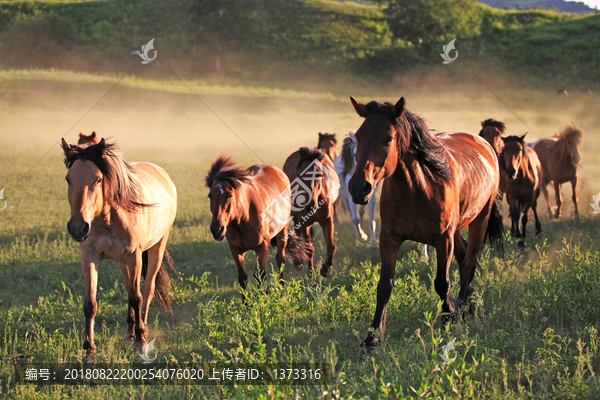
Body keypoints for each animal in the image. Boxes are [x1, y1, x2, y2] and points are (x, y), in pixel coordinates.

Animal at [61, 137, 178, 354]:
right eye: (68, 179)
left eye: (98, 180)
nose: (78, 228)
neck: (107, 219)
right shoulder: (89, 256)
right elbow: (90, 303)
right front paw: (89, 347)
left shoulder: (134, 258)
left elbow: (137, 298)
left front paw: (140, 341)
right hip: (123, 262)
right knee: (129, 288)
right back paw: (129, 333)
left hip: (156, 248)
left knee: (146, 290)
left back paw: (143, 329)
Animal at [207, 155, 310, 290]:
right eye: (210, 195)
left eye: (229, 195)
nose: (217, 230)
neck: (243, 219)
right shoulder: (235, 250)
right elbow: (243, 278)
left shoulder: (262, 247)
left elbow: (260, 276)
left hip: (283, 232)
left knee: (280, 259)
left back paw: (282, 286)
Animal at [284, 148, 340, 276]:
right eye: (300, 174)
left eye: (319, 175)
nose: (310, 207)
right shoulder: (305, 223)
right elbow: (309, 249)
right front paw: (311, 275)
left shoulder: (327, 219)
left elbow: (331, 246)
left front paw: (326, 269)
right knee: (298, 232)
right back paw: (298, 262)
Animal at [346, 97, 506, 354]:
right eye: (359, 136)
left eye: (388, 138)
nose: (359, 188)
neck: (418, 189)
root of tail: (485, 144)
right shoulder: (389, 238)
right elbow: (385, 286)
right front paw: (372, 339)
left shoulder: (443, 240)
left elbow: (442, 283)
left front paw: (449, 318)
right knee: (464, 257)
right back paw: (468, 303)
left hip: (480, 219)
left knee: (469, 263)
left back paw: (462, 308)